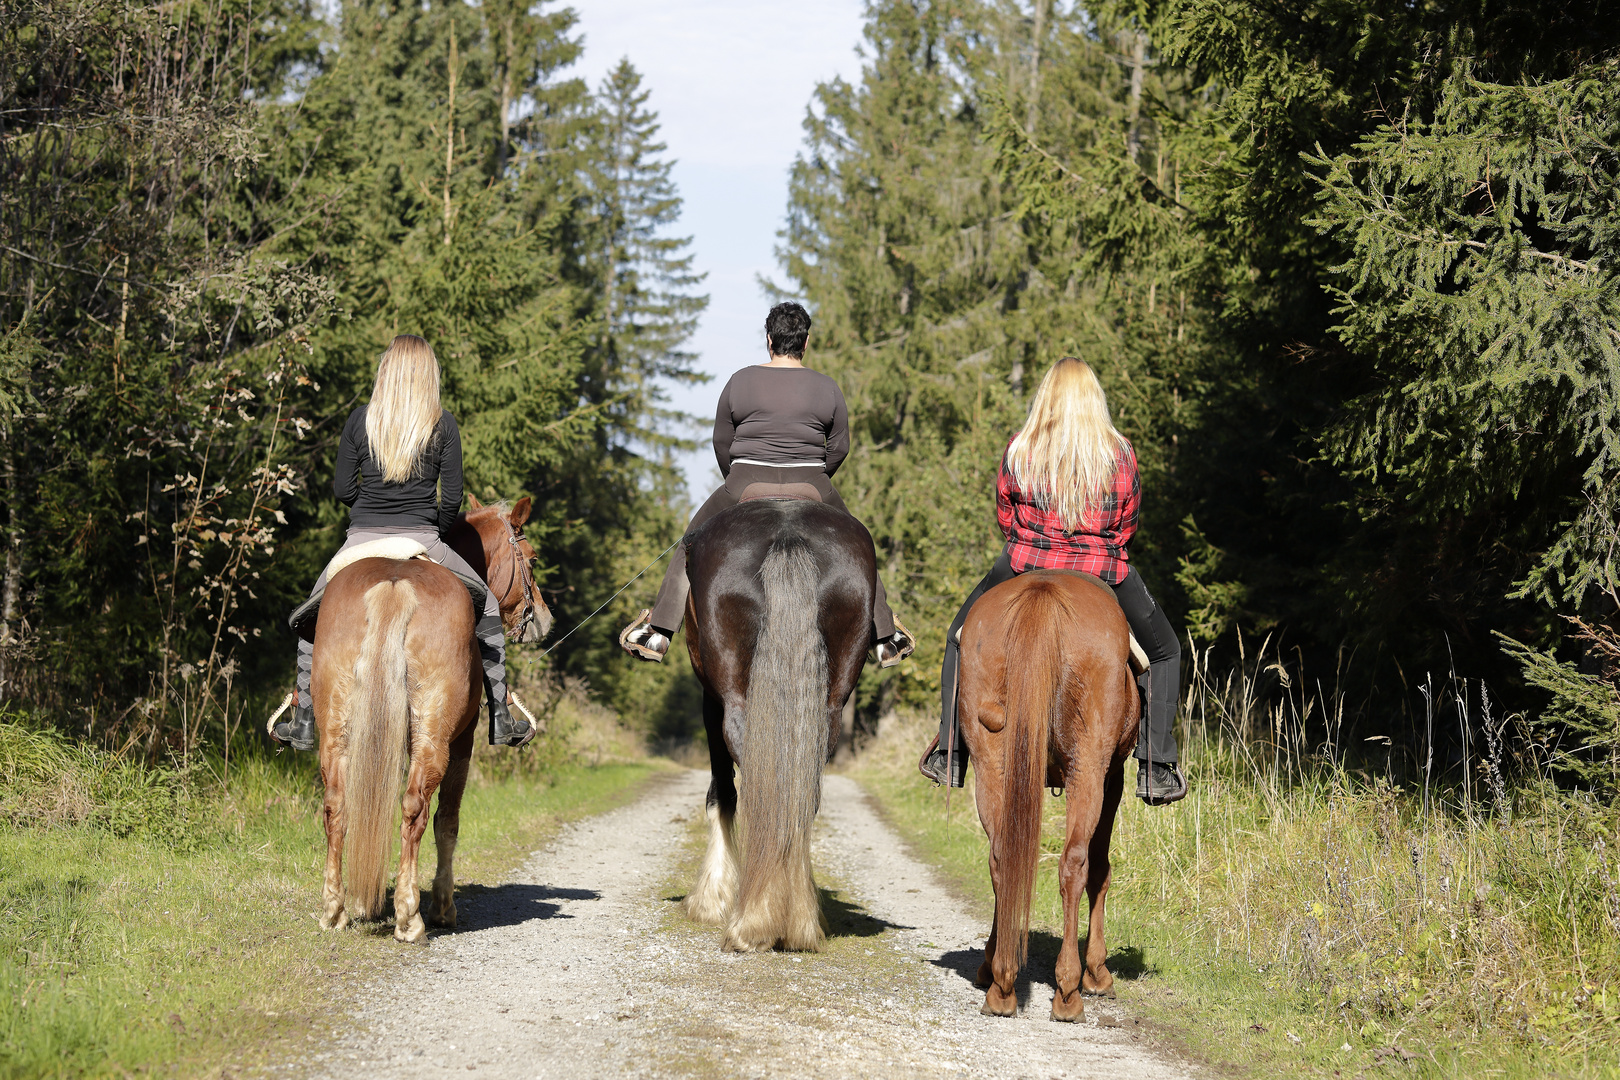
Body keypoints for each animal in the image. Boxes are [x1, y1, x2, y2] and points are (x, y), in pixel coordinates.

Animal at [309, 501, 550, 939]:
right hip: (434, 739)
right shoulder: (463, 742)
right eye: (532, 558)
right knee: (415, 808)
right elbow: (448, 821)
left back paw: (335, 910)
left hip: (338, 734)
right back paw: (410, 915)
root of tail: (395, 585)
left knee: (338, 806)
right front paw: (442, 905)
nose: (542, 615)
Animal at [683, 498, 887, 952]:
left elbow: (721, 790)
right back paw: (796, 919)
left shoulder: (710, 700)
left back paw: (753, 921)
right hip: (830, 705)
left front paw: (711, 898)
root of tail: (787, 532)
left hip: (734, 700)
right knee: (803, 789)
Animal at [959, 569, 1140, 1016]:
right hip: (1088, 770)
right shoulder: (1113, 776)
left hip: (991, 767)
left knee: (1002, 857)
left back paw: (1001, 981)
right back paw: (1070, 988)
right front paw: (1098, 973)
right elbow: (1100, 869)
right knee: (1075, 864)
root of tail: (1044, 590)